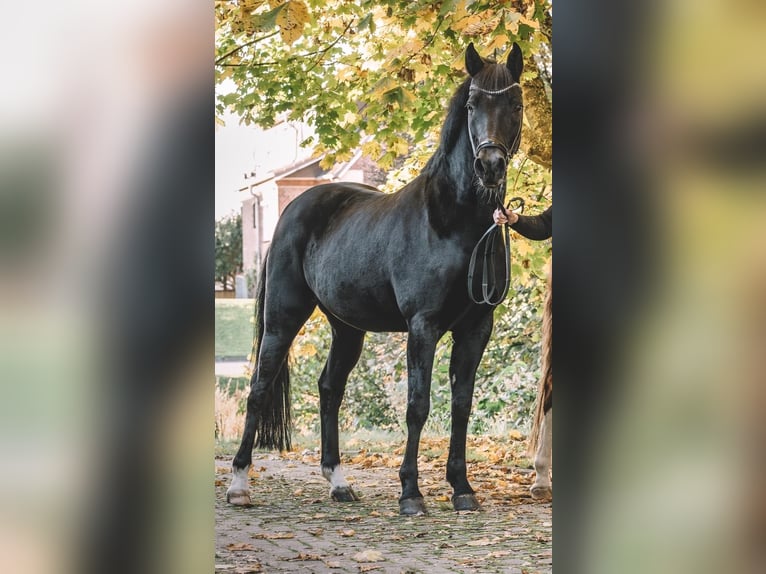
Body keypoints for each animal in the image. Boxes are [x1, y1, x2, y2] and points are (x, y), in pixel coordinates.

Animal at [228, 42, 524, 516]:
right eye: (472, 104)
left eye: (515, 103)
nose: (490, 165)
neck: (454, 223)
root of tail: (295, 208)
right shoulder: (423, 326)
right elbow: (418, 405)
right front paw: (411, 493)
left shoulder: (477, 327)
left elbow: (461, 404)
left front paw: (462, 488)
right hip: (282, 319)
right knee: (259, 388)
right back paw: (239, 484)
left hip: (347, 328)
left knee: (330, 388)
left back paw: (338, 482)